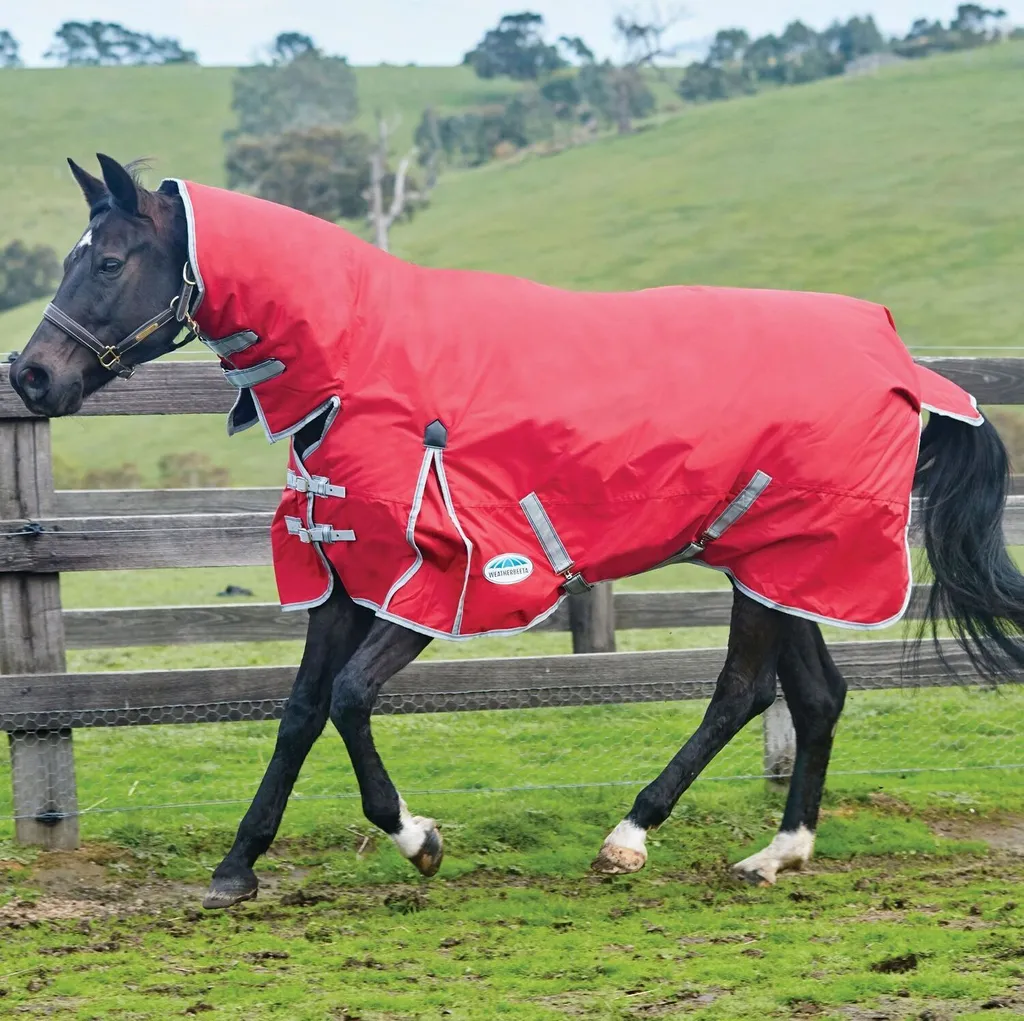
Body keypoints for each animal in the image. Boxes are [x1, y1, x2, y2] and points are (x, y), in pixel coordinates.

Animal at [10, 154, 1024, 911]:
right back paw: (778, 853)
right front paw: (235, 868)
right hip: (778, 565)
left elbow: (347, 698)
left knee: (741, 691)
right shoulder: (344, 576)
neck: (363, 362)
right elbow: (299, 711)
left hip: (780, 565)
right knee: (815, 696)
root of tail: (904, 362)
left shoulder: (445, 583)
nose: (31, 376)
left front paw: (418, 838)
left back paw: (629, 838)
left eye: (107, 261)